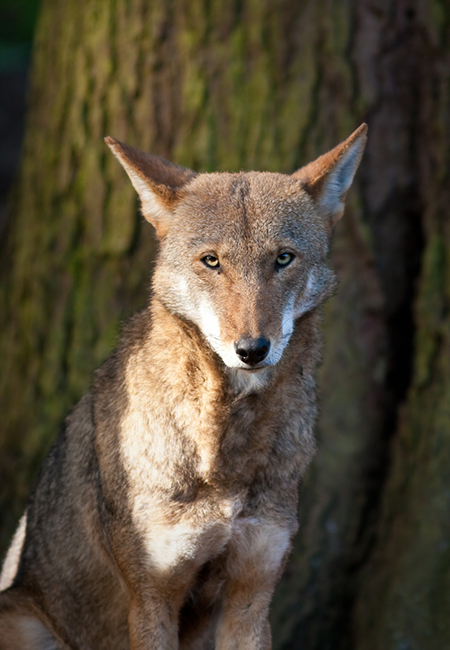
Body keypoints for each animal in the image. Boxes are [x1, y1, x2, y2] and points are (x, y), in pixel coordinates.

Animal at [0, 124, 366, 644]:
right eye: (211, 261)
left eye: (284, 258)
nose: (252, 349)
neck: (225, 453)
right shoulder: (152, 601)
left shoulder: (250, 600)